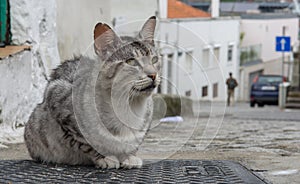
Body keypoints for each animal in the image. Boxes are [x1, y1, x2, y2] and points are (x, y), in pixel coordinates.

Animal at [24, 16, 159, 169]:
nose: (153, 74)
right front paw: (105, 158)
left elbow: (134, 143)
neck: (129, 106)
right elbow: (87, 143)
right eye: (131, 61)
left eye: (154, 60)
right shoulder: (58, 101)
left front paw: (129, 157)